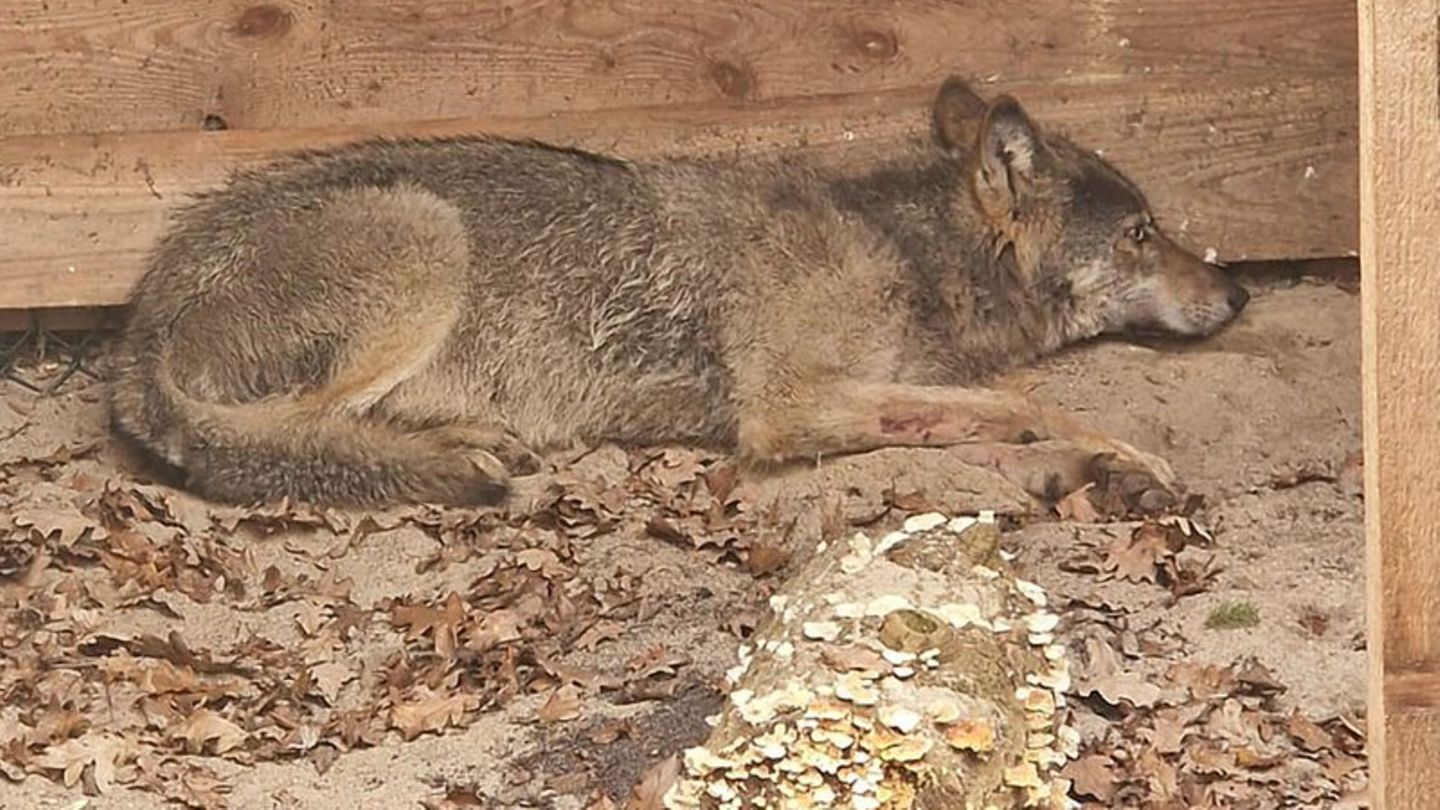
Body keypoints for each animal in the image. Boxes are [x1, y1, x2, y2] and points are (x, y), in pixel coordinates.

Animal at [107, 76, 1249, 509]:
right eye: (1143, 234)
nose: (1239, 293)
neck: (902, 249)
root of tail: (137, 324)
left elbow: (981, 415)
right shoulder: (785, 407)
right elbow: (1027, 402)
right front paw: (1125, 457)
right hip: (426, 239)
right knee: (284, 439)